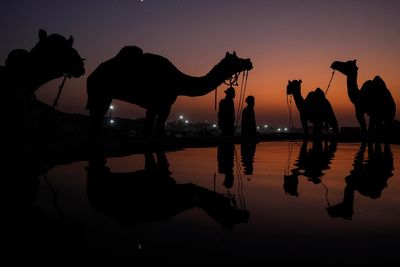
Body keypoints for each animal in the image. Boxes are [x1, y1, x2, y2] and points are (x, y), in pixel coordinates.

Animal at [86, 46, 252, 137]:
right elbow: (149, 131)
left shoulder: (164, 105)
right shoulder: (154, 103)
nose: (249, 61)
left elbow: (157, 130)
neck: (177, 80)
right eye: (235, 60)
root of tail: (92, 74)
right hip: (99, 92)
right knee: (96, 115)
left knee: (97, 117)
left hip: (104, 95)